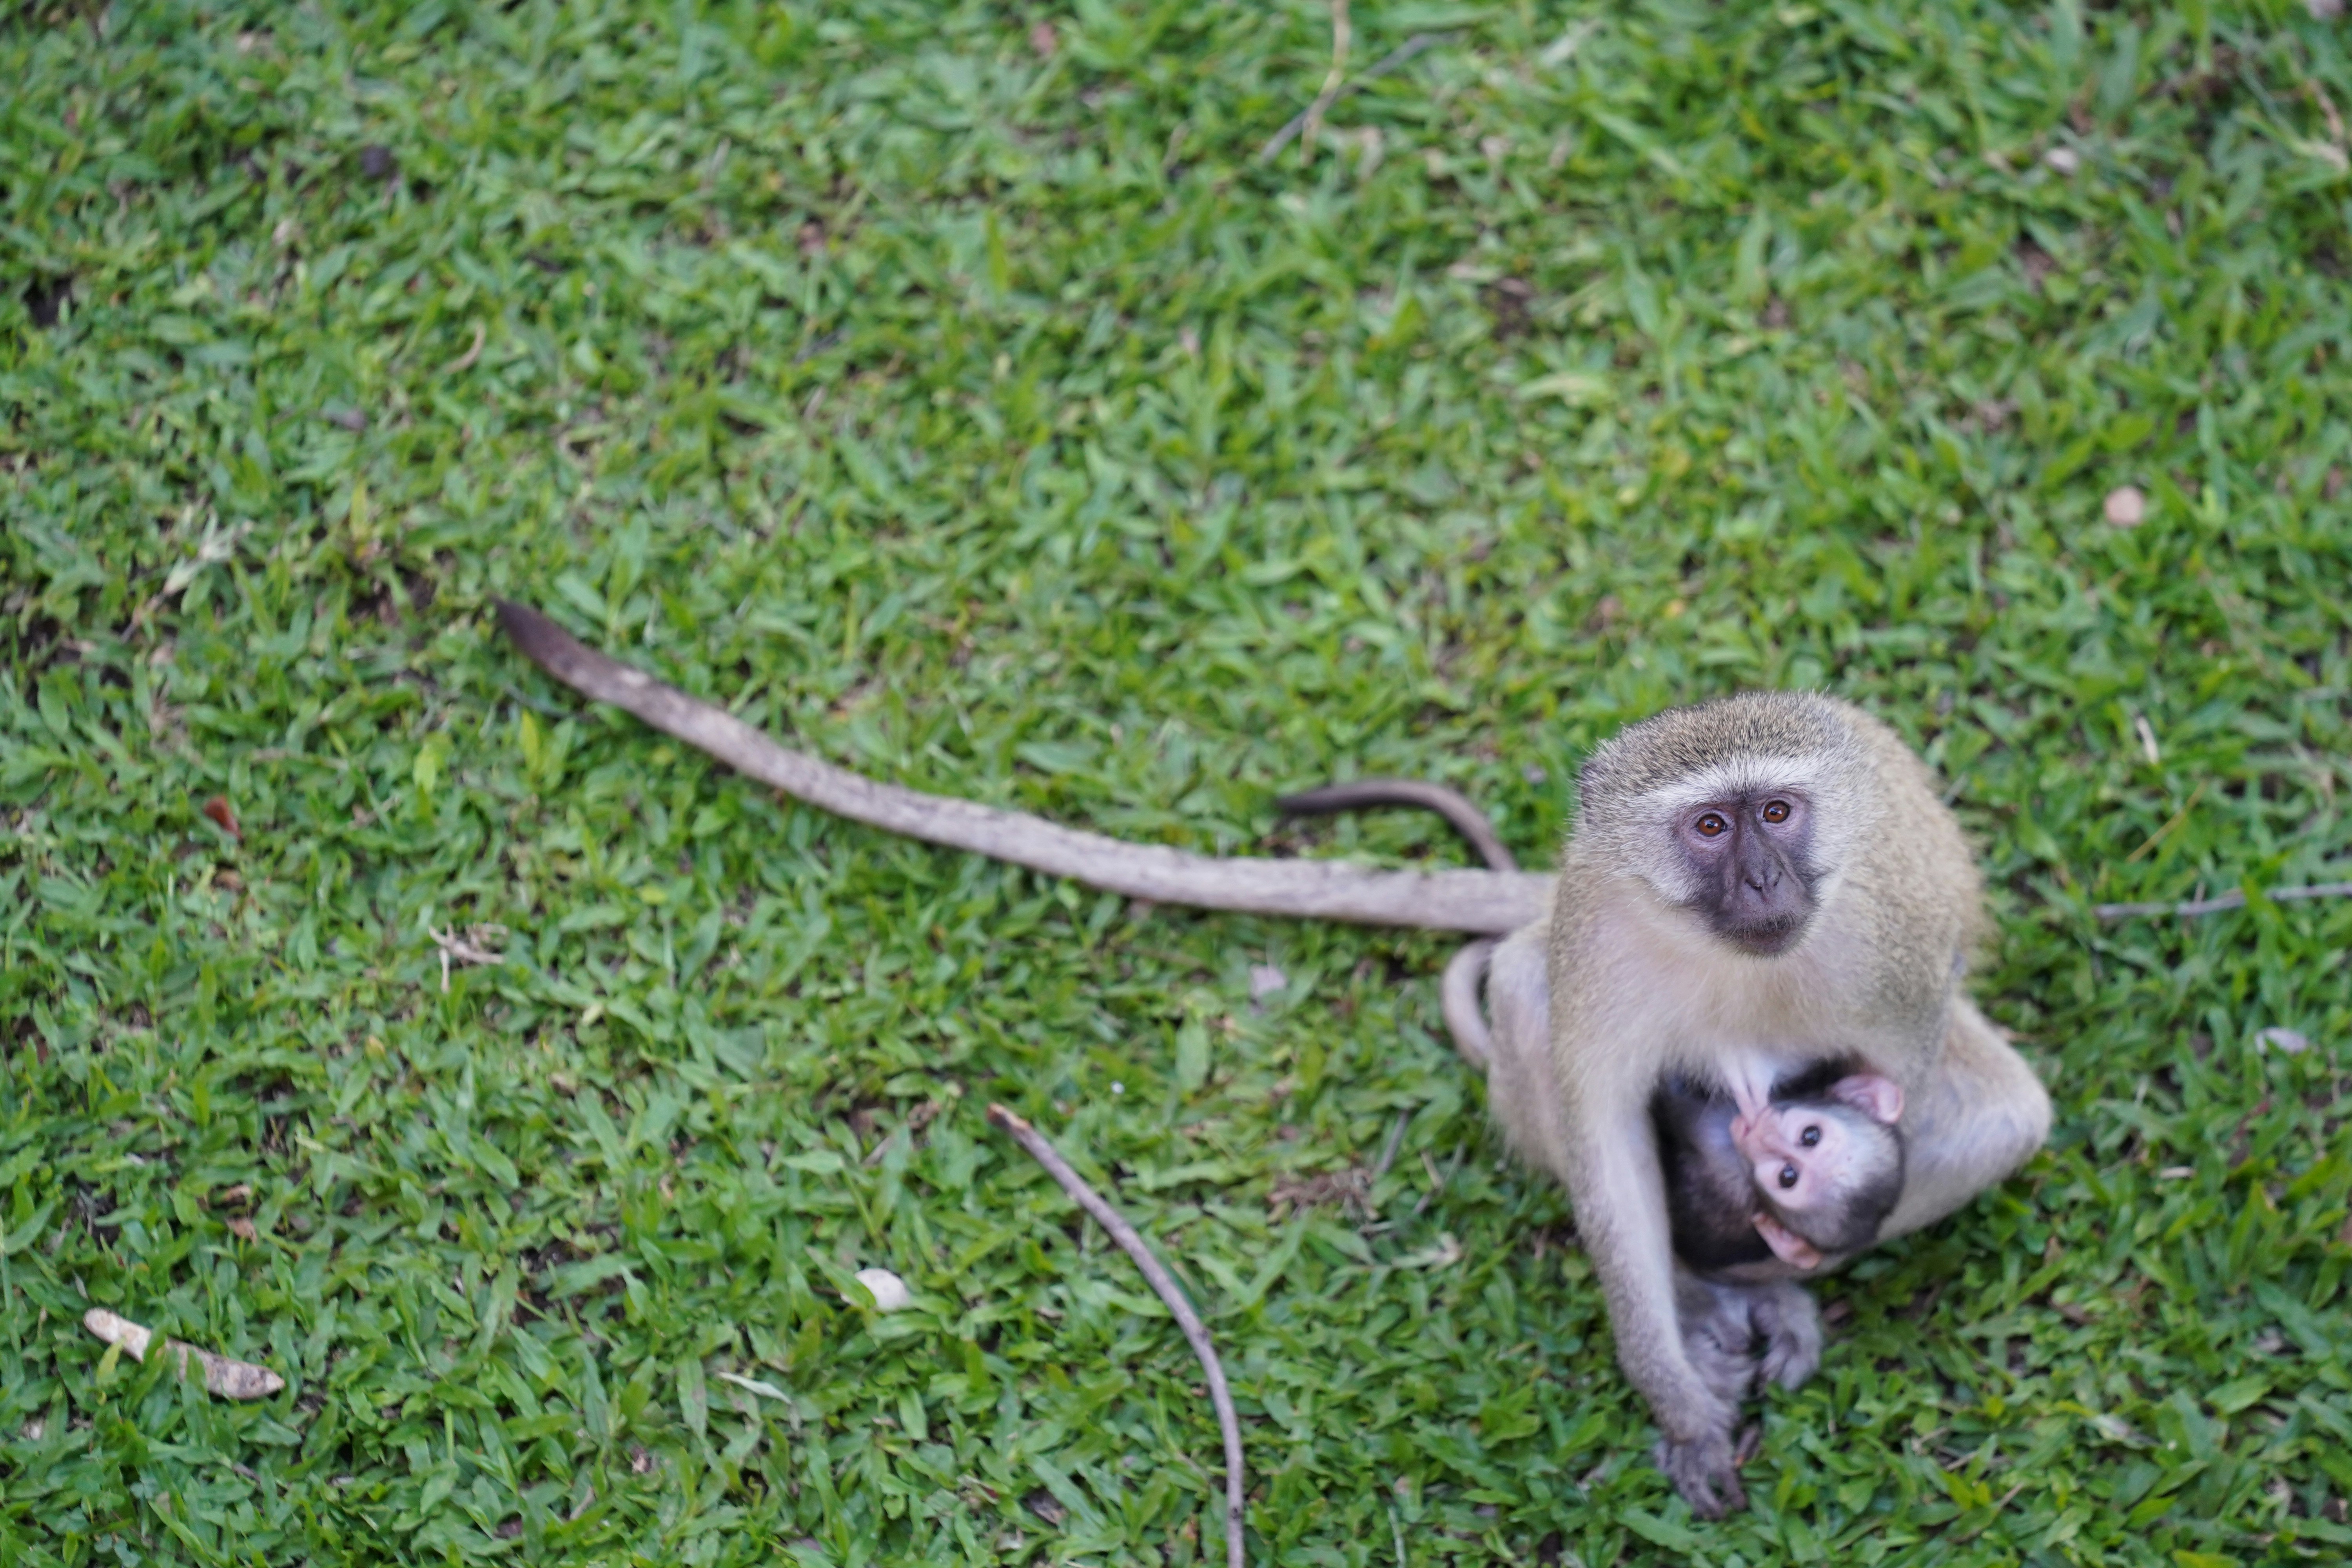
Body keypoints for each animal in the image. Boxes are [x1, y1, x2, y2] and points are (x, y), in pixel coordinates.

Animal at [493, 603, 2052, 1517]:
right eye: (1713, 829)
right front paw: (1671, 1360)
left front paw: (1778, 1259)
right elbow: (1600, 1115)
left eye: (1779, 813)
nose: (1764, 885)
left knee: (2000, 1115)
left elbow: (1899, 1097)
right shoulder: (1608, 929)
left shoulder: (1891, 957)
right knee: (1527, 995)